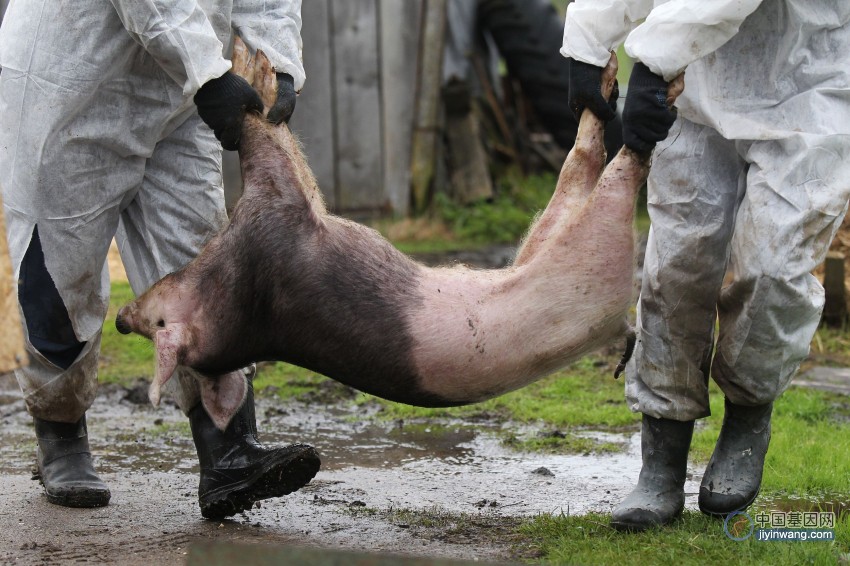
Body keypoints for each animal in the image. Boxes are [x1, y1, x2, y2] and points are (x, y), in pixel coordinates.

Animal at [116, 40, 684, 428]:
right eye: (157, 328)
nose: (122, 319)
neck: (248, 311)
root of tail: (614, 325)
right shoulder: (279, 219)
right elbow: (267, 146)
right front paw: (244, 77)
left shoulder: (288, 218)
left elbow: (278, 140)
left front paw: (256, 66)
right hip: (592, 246)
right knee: (615, 162)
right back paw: (649, 100)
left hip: (546, 237)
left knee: (578, 163)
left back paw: (609, 84)